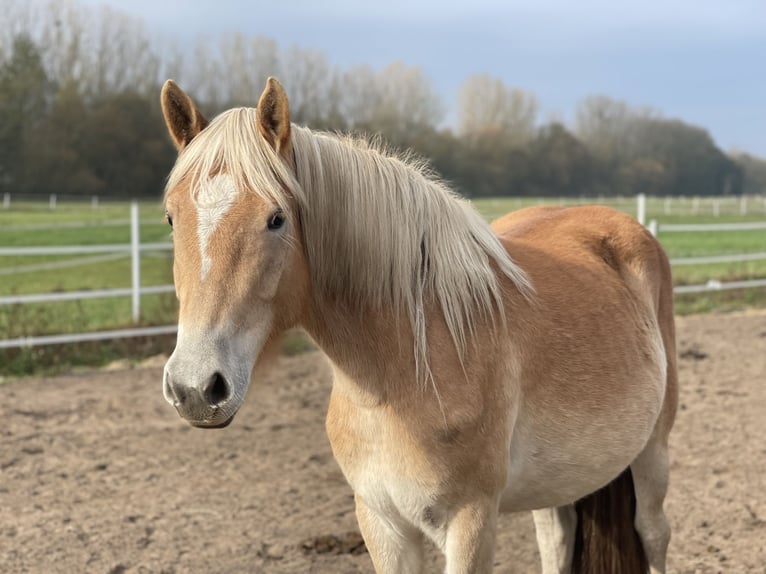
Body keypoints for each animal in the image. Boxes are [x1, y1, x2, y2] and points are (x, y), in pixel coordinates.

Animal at [160, 77, 680, 574]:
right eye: (170, 217)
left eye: (276, 218)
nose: (195, 388)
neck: (402, 374)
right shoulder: (381, 522)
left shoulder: (471, 520)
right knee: (557, 539)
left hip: (653, 449)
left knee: (653, 533)